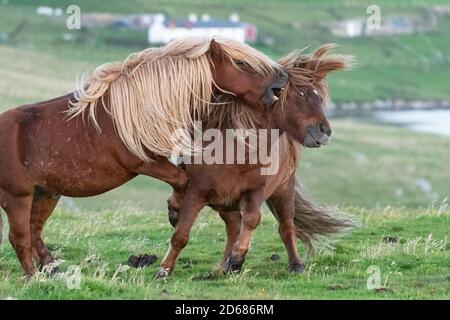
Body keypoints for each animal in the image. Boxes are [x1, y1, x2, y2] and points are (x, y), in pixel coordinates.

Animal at [0, 37, 288, 276]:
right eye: (241, 63)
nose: (282, 79)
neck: (142, 106)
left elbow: (183, 181)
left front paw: (175, 210)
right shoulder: (144, 163)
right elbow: (182, 180)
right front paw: (175, 212)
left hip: (46, 194)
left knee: (35, 231)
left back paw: (52, 269)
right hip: (18, 197)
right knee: (20, 237)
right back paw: (32, 277)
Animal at [163, 44, 356, 278]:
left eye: (318, 97)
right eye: (300, 94)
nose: (324, 132)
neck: (235, 152)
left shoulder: (255, 191)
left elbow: (252, 220)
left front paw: (237, 259)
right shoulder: (197, 191)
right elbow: (180, 233)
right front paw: (164, 270)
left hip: (283, 189)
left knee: (284, 227)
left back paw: (294, 264)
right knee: (231, 225)